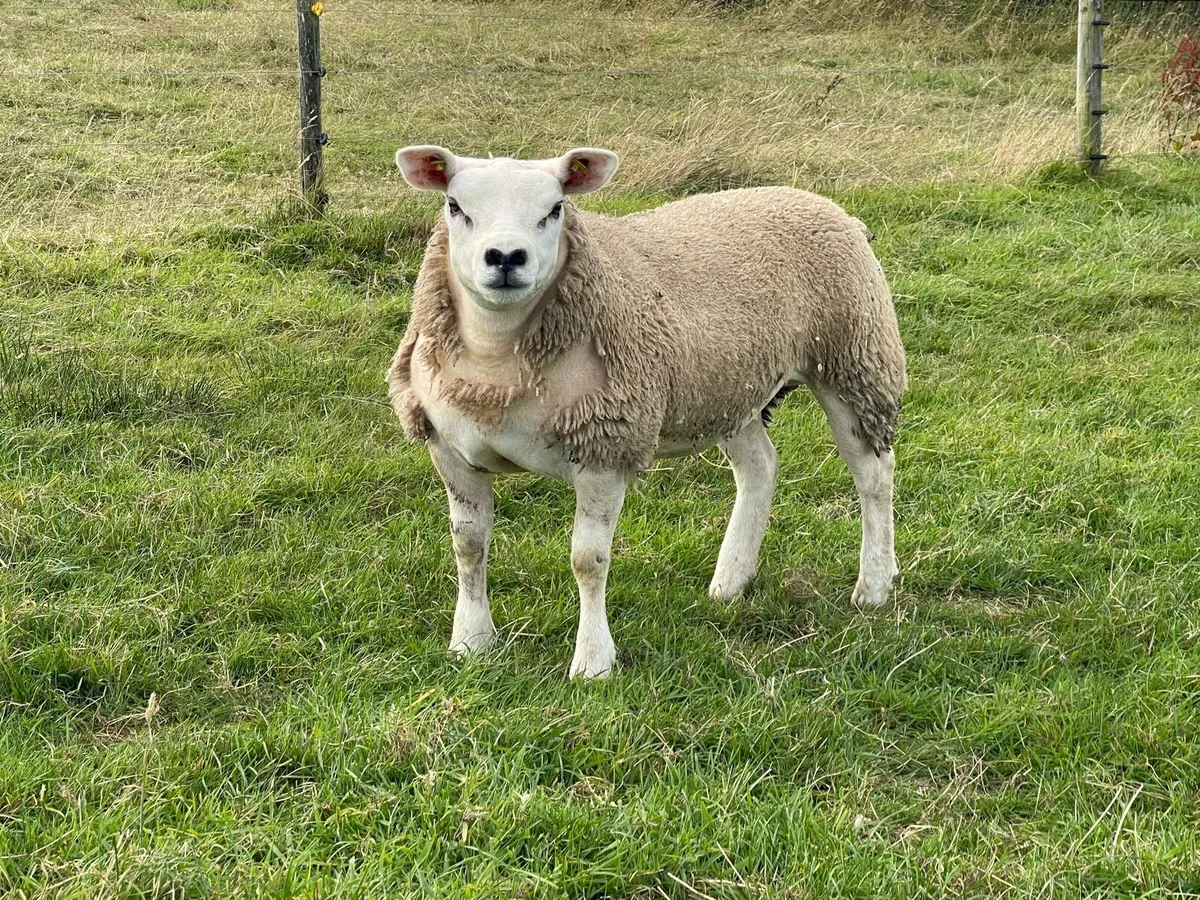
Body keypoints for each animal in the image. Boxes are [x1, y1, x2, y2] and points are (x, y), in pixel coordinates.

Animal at [388, 145, 906, 678]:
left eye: (555, 209)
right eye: (455, 206)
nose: (507, 258)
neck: (497, 363)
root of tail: (817, 201)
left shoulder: (605, 447)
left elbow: (588, 560)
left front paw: (593, 662)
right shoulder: (451, 451)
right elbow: (468, 547)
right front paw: (470, 642)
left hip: (855, 360)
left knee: (874, 476)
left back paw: (874, 584)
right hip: (729, 387)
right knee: (760, 467)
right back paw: (731, 580)